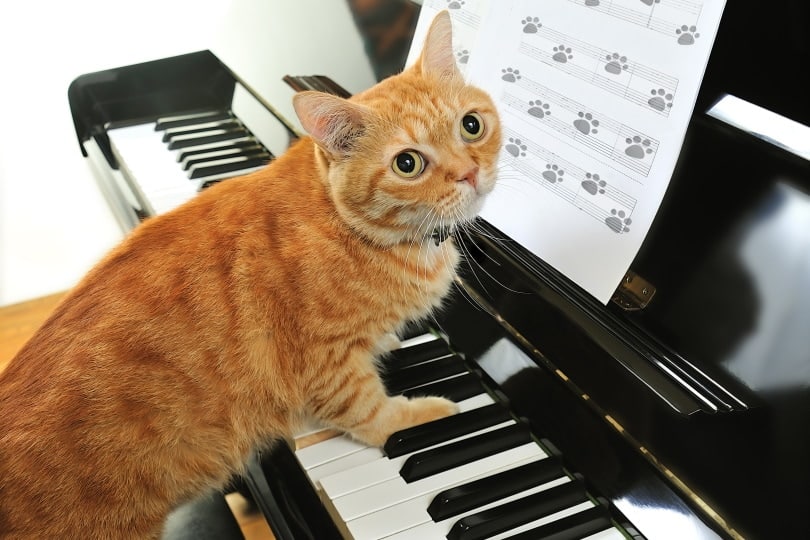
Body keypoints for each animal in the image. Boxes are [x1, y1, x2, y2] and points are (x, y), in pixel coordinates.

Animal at [0, 10, 498, 536]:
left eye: (471, 126)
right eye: (408, 163)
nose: (469, 173)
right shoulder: (324, 364)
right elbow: (367, 410)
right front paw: (416, 416)